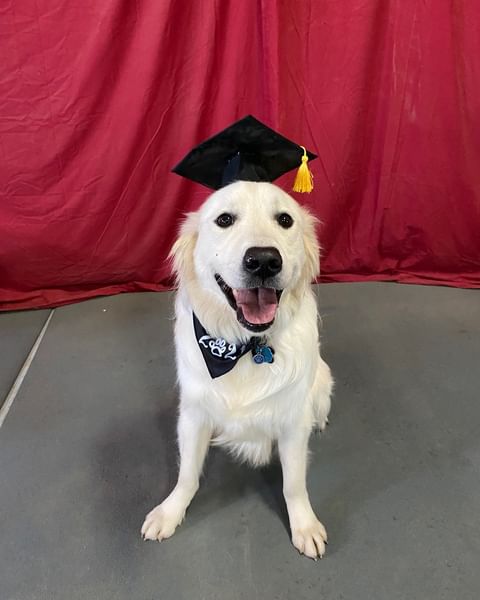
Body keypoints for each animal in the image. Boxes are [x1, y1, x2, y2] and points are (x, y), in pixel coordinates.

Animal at [141, 180, 332, 560]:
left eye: (285, 219)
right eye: (225, 219)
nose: (264, 261)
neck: (244, 347)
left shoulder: (292, 421)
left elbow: (294, 484)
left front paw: (304, 525)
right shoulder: (194, 413)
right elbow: (187, 474)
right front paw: (170, 511)